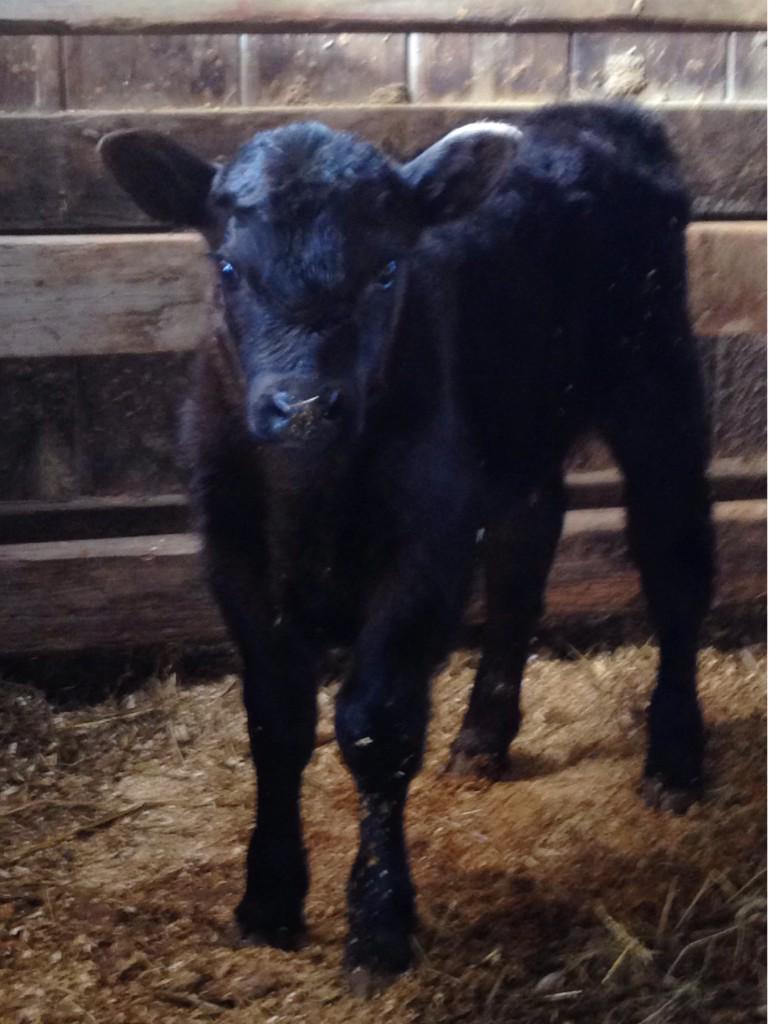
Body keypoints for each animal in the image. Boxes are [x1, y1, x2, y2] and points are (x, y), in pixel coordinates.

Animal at [100, 102, 714, 994]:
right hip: (515, 435)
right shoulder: (234, 558)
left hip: (656, 386)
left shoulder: (423, 548)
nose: (303, 405)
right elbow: (275, 721)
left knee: (675, 567)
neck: (311, 497)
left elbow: (374, 726)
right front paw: (267, 902)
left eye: (388, 269)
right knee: (524, 552)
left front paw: (379, 927)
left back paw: (672, 760)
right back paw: (483, 735)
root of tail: (594, 118)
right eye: (229, 266)